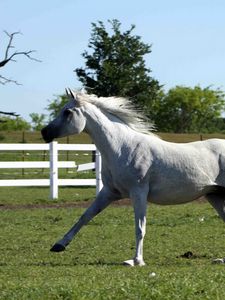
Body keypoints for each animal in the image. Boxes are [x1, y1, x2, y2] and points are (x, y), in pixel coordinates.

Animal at [41, 89, 225, 268]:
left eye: (67, 112)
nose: (44, 132)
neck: (123, 148)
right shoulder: (109, 192)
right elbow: (85, 216)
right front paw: (59, 245)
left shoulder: (138, 192)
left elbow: (140, 227)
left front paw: (136, 260)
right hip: (214, 195)